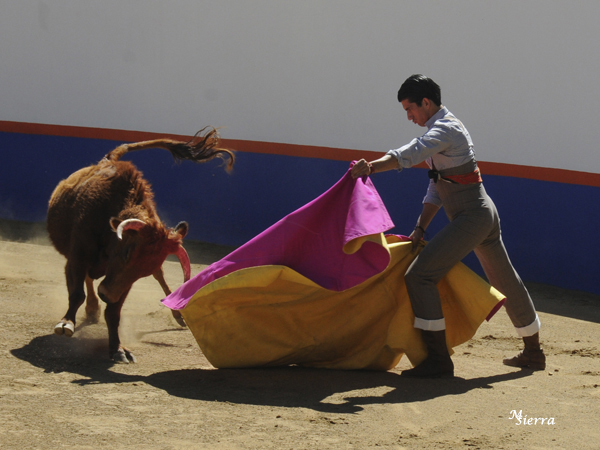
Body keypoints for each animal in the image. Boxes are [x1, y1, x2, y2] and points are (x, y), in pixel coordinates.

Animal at [47, 127, 234, 363]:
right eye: (126, 252)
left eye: (141, 272)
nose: (106, 295)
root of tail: (107, 159)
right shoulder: (78, 257)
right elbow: (77, 293)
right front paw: (66, 323)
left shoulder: (124, 281)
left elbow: (114, 312)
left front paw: (117, 349)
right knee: (87, 281)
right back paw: (91, 308)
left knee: (160, 277)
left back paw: (176, 315)